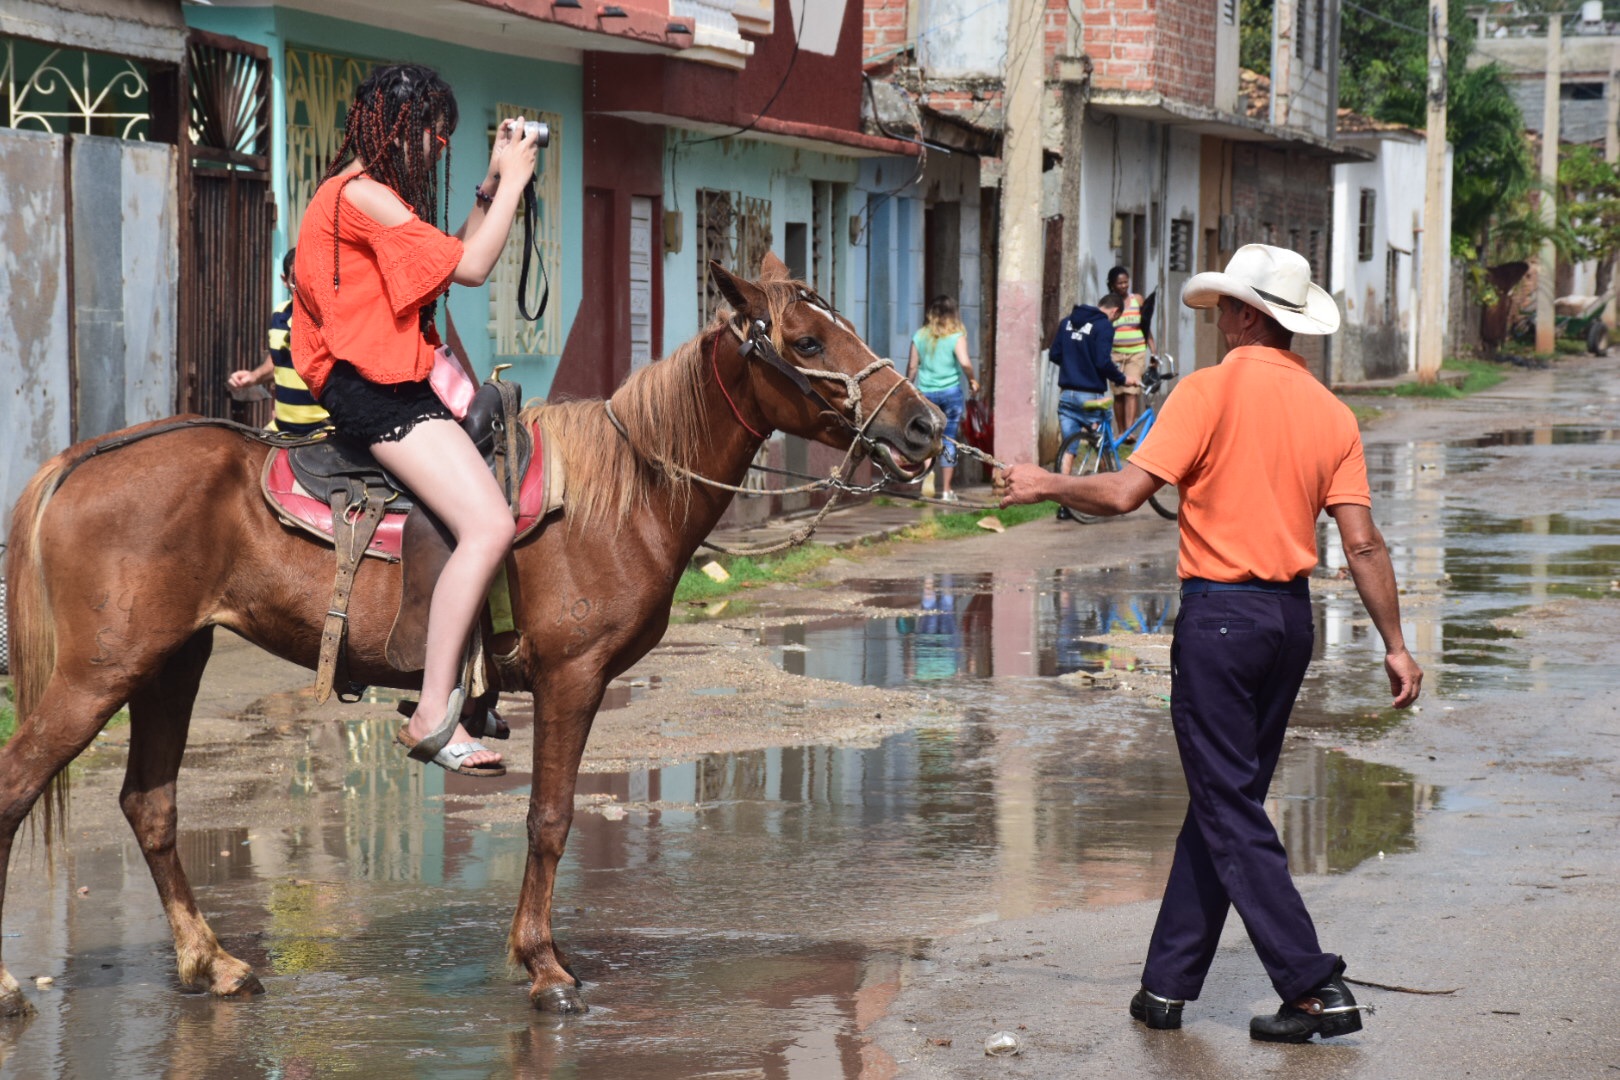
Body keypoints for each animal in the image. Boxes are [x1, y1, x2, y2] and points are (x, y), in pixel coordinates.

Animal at [3, 257, 939, 1016]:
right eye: (808, 340)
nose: (926, 426)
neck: (622, 493)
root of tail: (83, 460)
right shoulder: (573, 677)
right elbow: (550, 818)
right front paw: (545, 967)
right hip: (100, 674)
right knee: (20, 787)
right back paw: (17, 986)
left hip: (170, 662)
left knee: (150, 804)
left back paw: (212, 962)